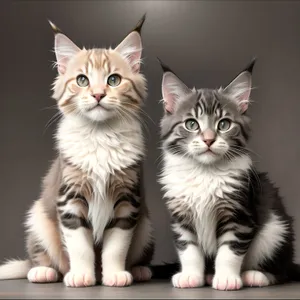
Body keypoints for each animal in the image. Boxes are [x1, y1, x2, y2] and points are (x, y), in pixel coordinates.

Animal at [0, 14, 155, 288]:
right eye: (82, 80)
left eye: (113, 80)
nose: (98, 95)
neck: (100, 136)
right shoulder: (70, 199)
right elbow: (80, 247)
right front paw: (82, 276)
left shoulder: (127, 202)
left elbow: (116, 247)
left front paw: (114, 275)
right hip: (38, 217)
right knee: (41, 258)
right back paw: (43, 272)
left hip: (146, 226)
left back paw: (138, 270)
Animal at [151, 58, 300, 290]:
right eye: (191, 124)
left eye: (224, 124)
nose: (209, 139)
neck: (204, 172)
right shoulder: (181, 216)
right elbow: (189, 249)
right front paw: (191, 276)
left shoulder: (239, 215)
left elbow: (229, 251)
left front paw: (227, 278)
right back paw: (208, 275)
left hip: (276, 230)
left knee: (281, 272)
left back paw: (255, 276)